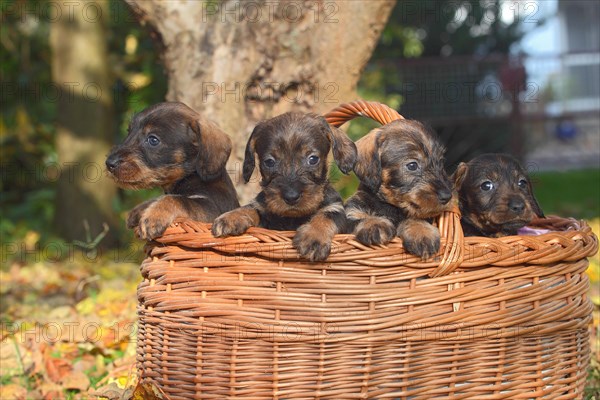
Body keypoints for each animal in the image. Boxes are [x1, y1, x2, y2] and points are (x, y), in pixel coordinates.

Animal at [105, 103, 239, 241]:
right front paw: (139, 210)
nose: (110, 163)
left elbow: (178, 199)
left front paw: (153, 216)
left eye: (153, 140)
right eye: (129, 132)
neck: (190, 176)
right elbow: (162, 197)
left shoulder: (211, 210)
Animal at [211, 111, 356, 262]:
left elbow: (325, 217)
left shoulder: (336, 209)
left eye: (313, 159)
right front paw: (230, 217)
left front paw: (314, 238)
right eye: (269, 162)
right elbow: (251, 208)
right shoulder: (264, 211)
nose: (291, 197)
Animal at [344, 118, 452, 260]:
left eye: (440, 162)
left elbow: (416, 218)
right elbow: (360, 216)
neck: (392, 207)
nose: (447, 196)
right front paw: (374, 223)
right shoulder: (351, 210)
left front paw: (421, 231)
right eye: (412, 165)